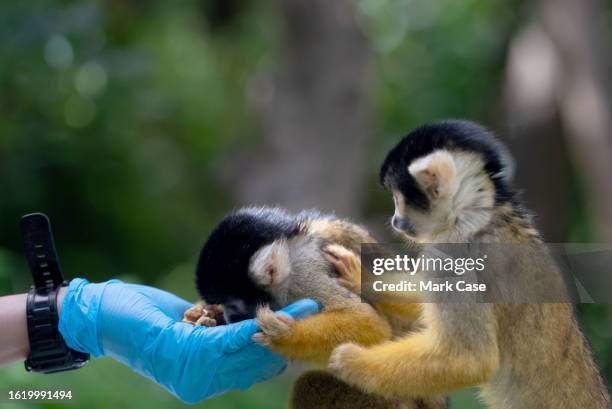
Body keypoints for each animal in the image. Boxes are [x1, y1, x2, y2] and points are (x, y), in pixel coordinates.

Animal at [328, 120, 608, 408]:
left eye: (398, 198)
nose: (395, 220)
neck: (473, 216)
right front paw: (362, 278)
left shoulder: (452, 257)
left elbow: (468, 360)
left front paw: (348, 360)